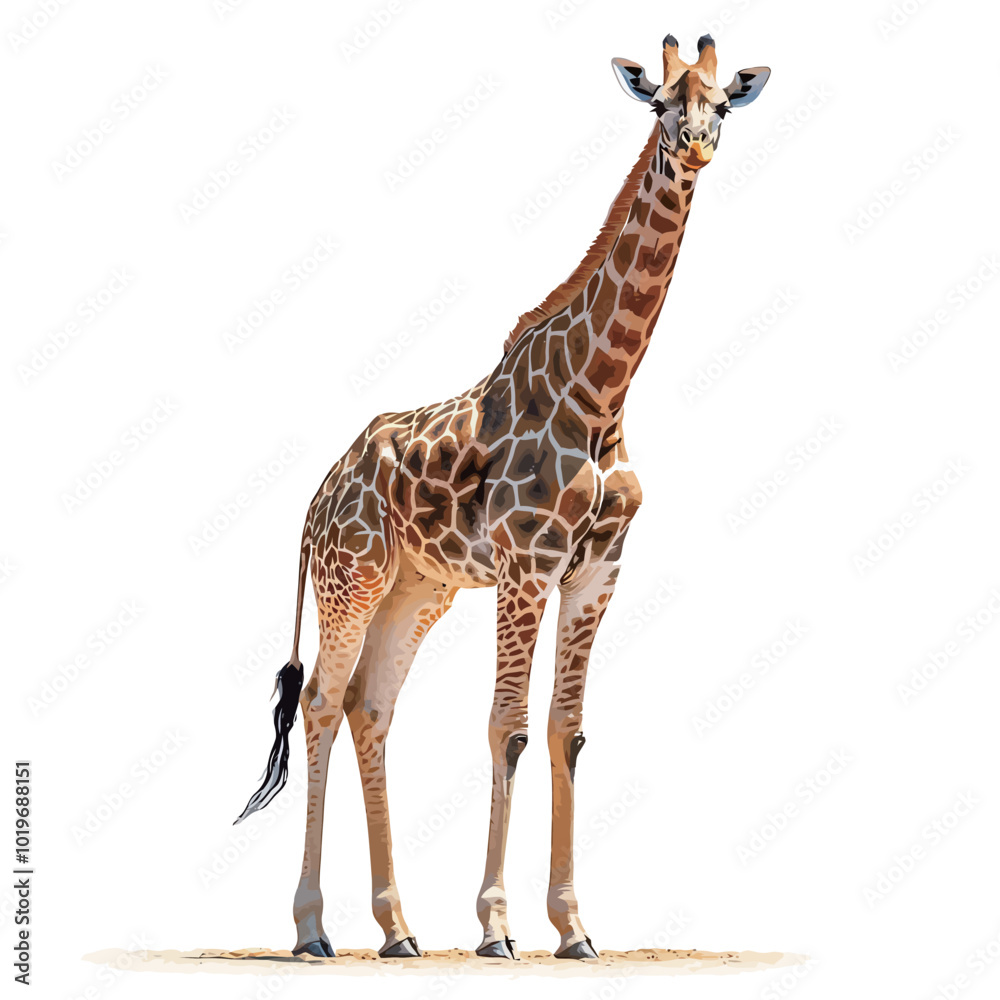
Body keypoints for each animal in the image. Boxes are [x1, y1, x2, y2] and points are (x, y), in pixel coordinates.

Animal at [236, 33, 770, 961]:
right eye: (661, 102)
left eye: (721, 104)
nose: (697, 146)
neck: (601, 394)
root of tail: (313, 502)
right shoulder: (526, 565)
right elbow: (508, 725)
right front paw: (495, 926)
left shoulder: (597, 571)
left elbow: (567, 729)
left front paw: (574, 926)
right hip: (352, 581)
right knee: (322, 703)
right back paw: (311, 929)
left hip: (419, 590)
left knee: (372, 708)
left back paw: (399, 929)